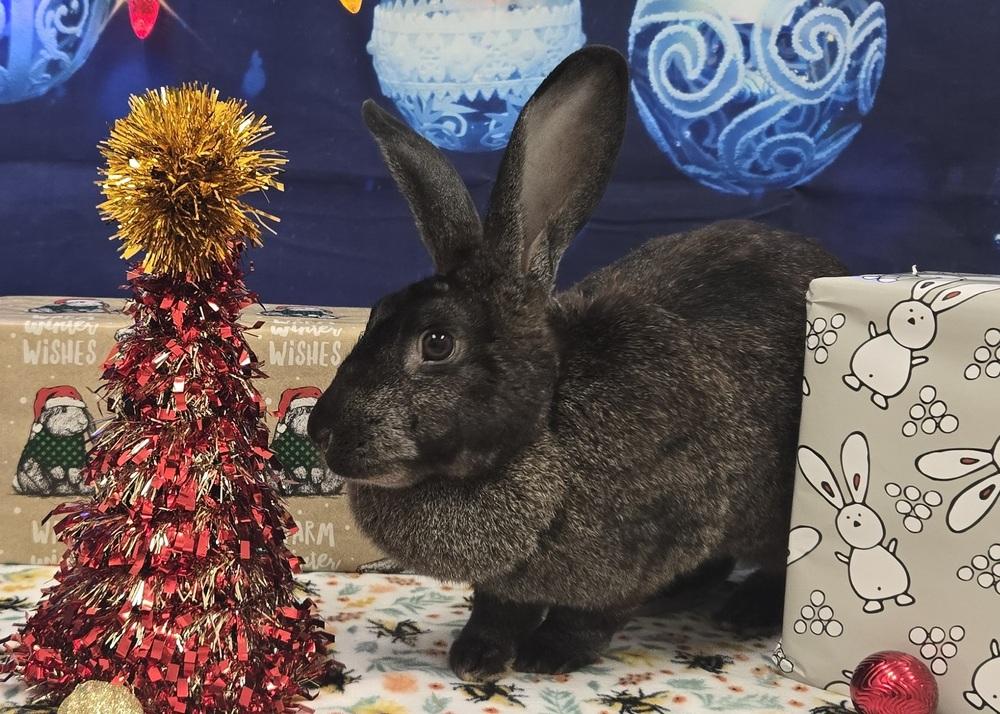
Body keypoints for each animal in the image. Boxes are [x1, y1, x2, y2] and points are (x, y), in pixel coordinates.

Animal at [307, 45, 846, 682]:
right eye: (377, 312)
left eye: (437, 343)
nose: (319, 430)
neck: (547, 422)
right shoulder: (507, 583)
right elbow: (498, 608)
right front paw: (476, 657)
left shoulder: (647, 546)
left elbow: (592, 615)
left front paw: (548, 655)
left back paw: (746, 611)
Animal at [797, 432, 914, 613]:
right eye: (847, 518)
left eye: (859, 514)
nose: (856, 523)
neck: (867, 549)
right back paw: (873, 606)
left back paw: (903, 599)